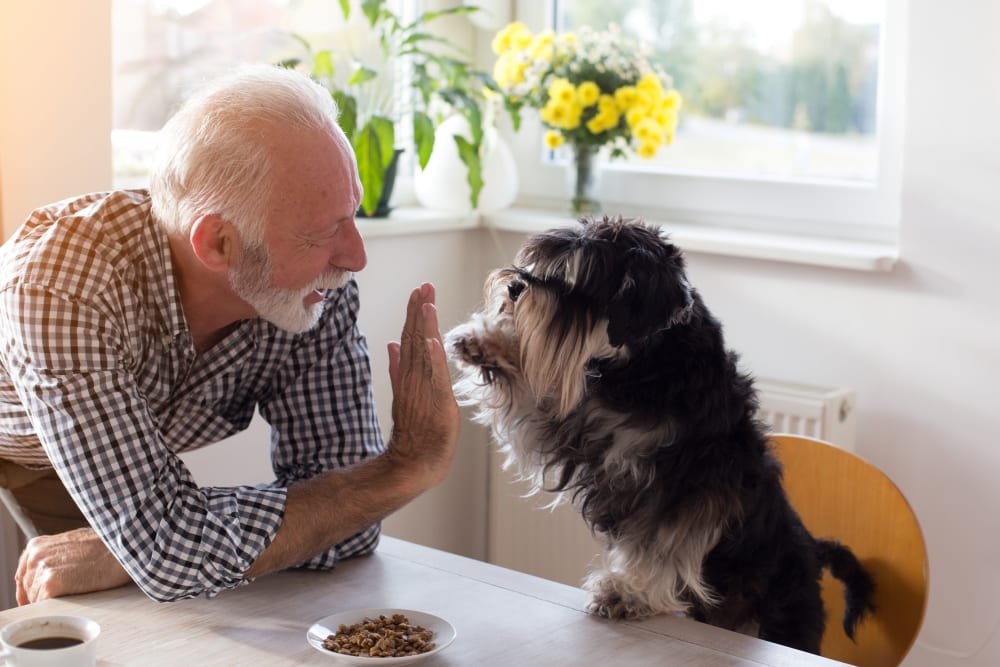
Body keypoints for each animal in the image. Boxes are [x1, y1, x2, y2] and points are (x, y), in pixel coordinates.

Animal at [446, 217, 876, 656]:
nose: (515, 287)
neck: (647, 364)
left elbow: (661, 545)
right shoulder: (576, 427)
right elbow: (534, 397)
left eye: (579, 279)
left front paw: (626, 593)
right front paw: (485, 341)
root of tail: (813, 551)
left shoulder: (687, 487)